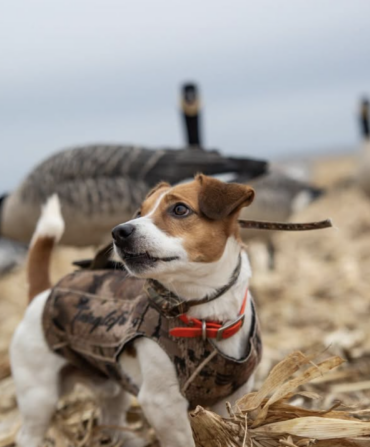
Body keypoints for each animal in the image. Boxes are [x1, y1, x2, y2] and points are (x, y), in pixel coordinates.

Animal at [9, 175, 264, 447]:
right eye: (139, 212)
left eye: (180, 209)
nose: (119, 231)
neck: (206, 317)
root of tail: (44, 293)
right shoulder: (162, 404)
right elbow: (183, 440)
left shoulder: (233, 396)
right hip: (39, 395)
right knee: (29, 433)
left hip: (112, 382)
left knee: (110, 416)